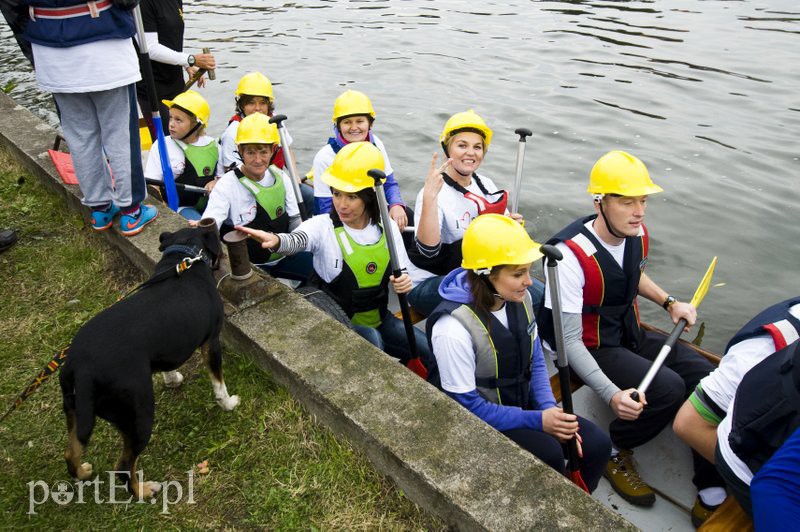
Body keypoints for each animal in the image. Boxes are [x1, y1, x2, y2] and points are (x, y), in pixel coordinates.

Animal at [59, 225, 238, 498]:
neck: (183, 257)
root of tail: (82, 369)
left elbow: (168, 365)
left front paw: (172, 379)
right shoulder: (211, 342)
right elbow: (219, 383)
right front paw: (228, 403)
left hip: (76, 410)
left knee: (71, 451)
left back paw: (83, 472)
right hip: (138, 415)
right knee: (123, 466)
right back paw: (144, 491)